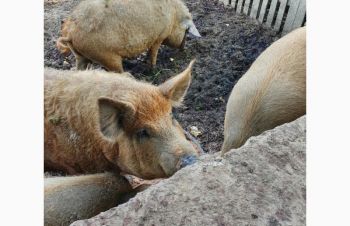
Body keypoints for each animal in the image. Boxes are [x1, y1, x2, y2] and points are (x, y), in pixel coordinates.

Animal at [56, 0, 201, 72]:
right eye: (186, 31)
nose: (183, 50)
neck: (174, 17)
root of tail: (70, 32)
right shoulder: (158, 37)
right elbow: (154, 53)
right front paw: (153, 68)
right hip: (106, 56)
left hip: (80, 55)